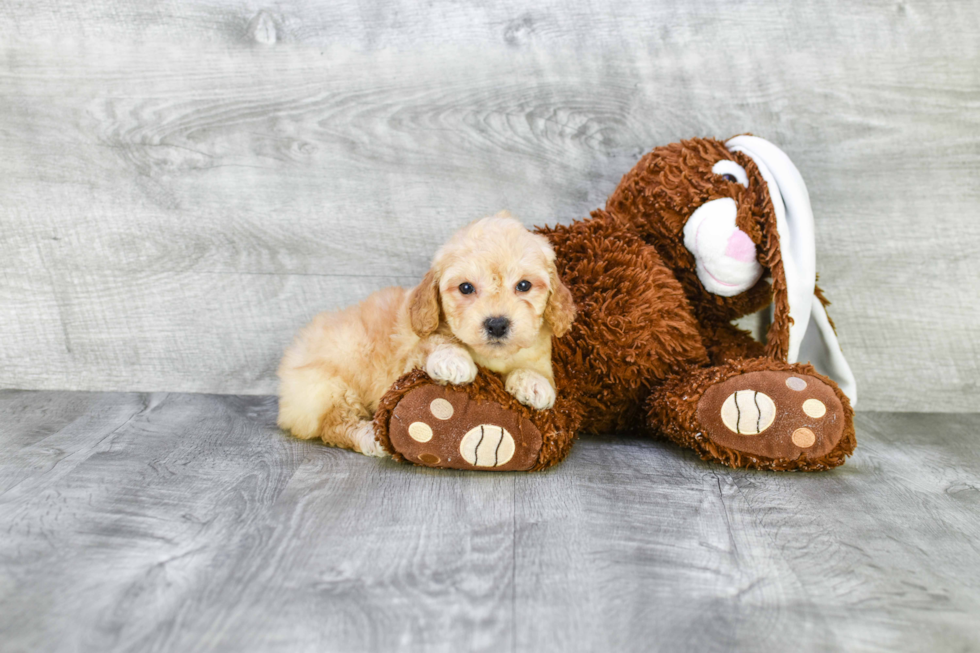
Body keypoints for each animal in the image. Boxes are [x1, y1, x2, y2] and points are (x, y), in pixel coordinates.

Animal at [278, 211, 576, 456]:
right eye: (466, 288)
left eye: (524, 285)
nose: (497, 324)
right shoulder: (407, 361)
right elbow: (436, 341)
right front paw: (453, 360)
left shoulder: (539, 354)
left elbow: (534, 369)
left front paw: (534, 384)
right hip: (331, 384)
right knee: (335, 425)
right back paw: (371, 436)